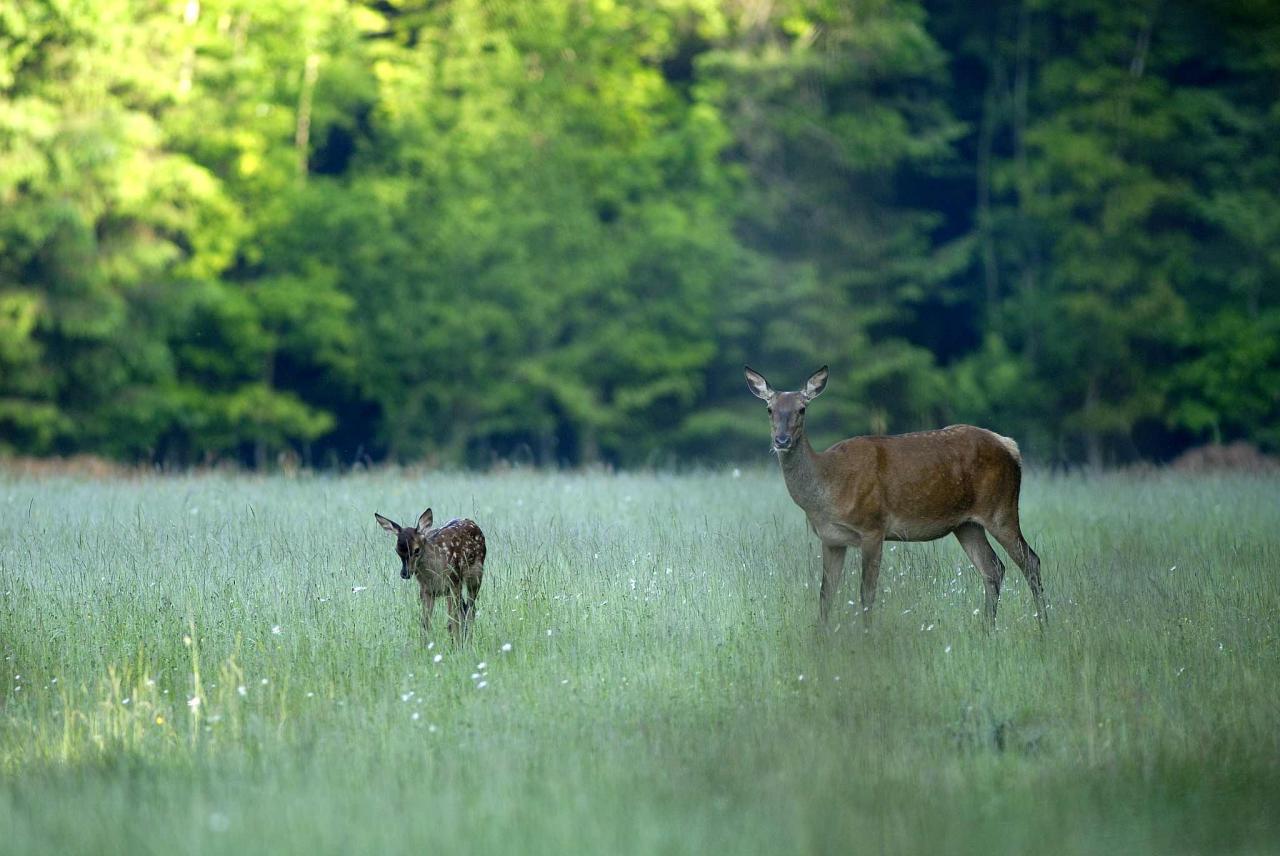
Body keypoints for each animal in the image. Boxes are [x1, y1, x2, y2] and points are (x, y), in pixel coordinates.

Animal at [376, 506, 486, 639]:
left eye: (417, 550)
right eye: (397, 550)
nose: (405, 574)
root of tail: (472, 522)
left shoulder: (452, 583)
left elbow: (452, 623)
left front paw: (457, 643)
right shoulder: (426, 589)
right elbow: (425, 623)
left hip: (475, 575)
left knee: (470, 610)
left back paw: (468, 640)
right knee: (464, 609)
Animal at [747, 363, 1044, 626]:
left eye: (802, 409)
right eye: (769, 409)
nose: (781, 440)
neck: (827, 490)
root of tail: (1011, 446)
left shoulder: (873, 528)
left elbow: (866, 595)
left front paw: (868, 637)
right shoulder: (832, 539)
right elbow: (825, 596)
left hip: (1001, 508)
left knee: (1031, 561)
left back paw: (1043, 628)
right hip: (966, 524)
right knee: (993, 568)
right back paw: (987, 630)